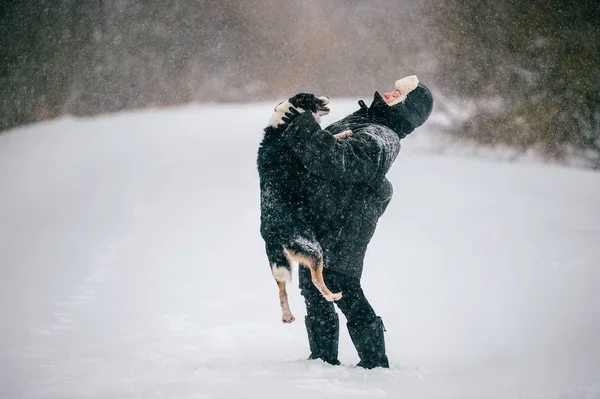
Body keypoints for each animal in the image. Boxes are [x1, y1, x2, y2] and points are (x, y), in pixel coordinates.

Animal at [255, 94, 350, 324]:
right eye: (313, 96)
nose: (327, 96)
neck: (284, 122)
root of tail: (272, 233)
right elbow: (329, 138)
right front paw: (345, 132)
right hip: (314, 249)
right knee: (316, 280)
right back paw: (333, 295)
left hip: (278, 263)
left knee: (281, 291)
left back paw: (287, 316)